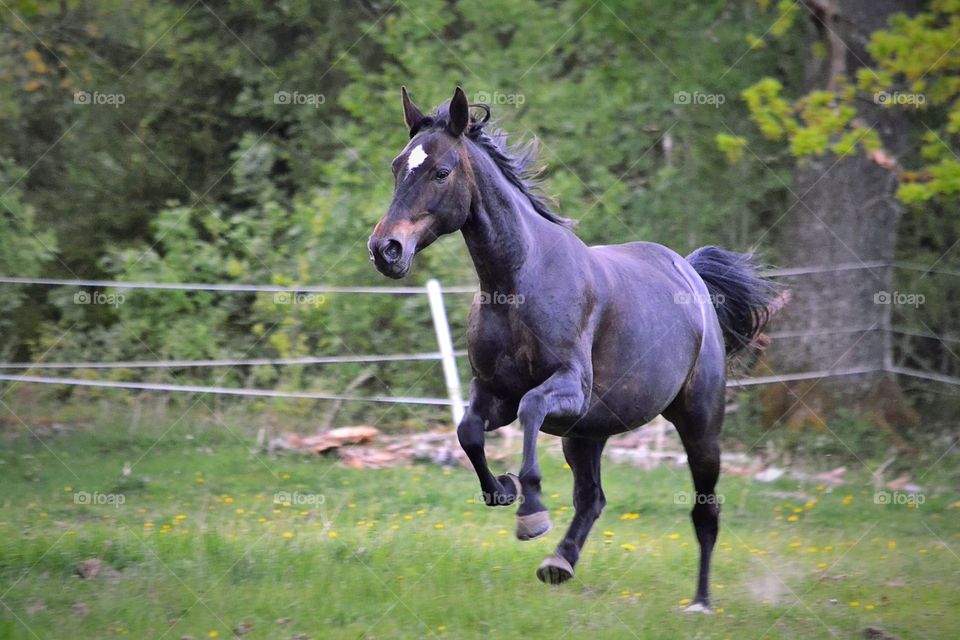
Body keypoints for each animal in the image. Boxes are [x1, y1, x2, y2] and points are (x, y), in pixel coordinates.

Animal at [368, 85, 780, 608]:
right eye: (397, 166)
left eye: (441, 171)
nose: (385, 250)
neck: (517, 283)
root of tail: (691, 274)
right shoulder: (494, 393)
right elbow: (469, 432)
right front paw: (502, 490)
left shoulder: (567, 389)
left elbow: (529, 409)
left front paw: (530, 511)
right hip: (587, 434)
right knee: (592, 498)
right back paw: (559, 562)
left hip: (699, 427)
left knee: (705, 513)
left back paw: (700, 603)